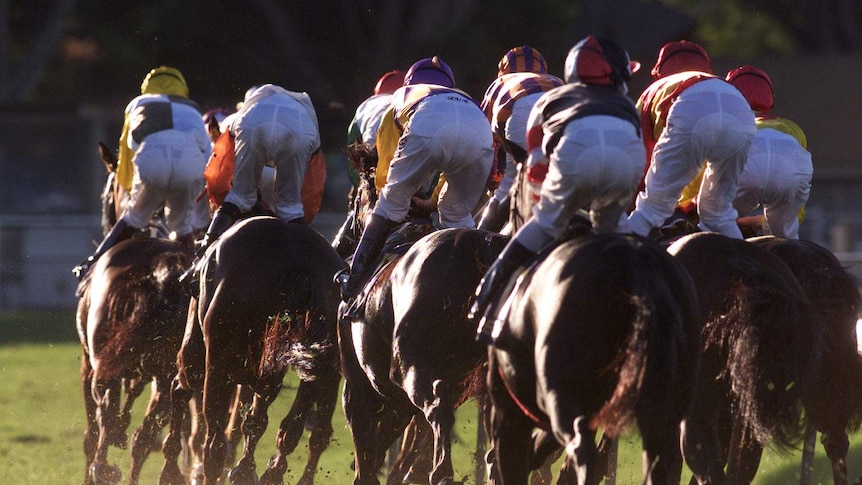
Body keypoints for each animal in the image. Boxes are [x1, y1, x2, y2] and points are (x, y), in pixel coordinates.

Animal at [77, 142, 194, 484]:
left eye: (106, 192)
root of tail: (162, 267)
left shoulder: (87, 363)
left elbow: (94, 432)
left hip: (103, 365)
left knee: (105, 421)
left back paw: (104, 467)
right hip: (170, 371)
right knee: (144, 436)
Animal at [486, 233, 704, 482]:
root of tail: (638, 264)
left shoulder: (508, 413)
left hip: (560, 396)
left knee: (582, 450)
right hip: (666, 415)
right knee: (660, 461)